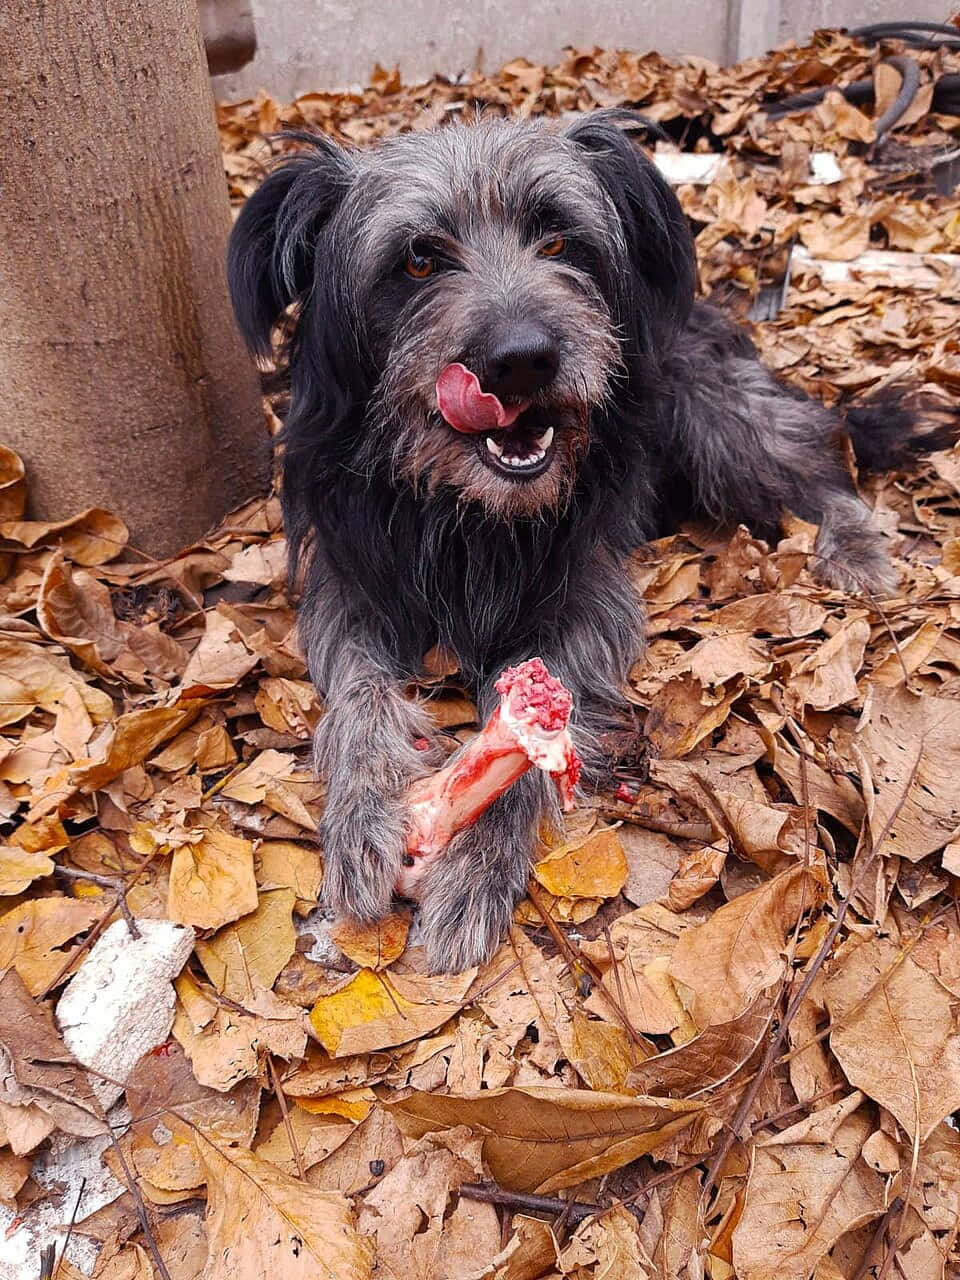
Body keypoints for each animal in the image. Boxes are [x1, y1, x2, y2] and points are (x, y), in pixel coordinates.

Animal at [231, 110, 901, 967]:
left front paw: (478, 861)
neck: (469, 513)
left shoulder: (583, 600)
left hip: (711, 415)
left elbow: (529, 738)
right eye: (417, 259)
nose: (520, 361)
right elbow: (358, 700)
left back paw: (855, 549)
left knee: (815, 460)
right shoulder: (353, 587)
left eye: (557, 240)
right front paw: (359, 821)